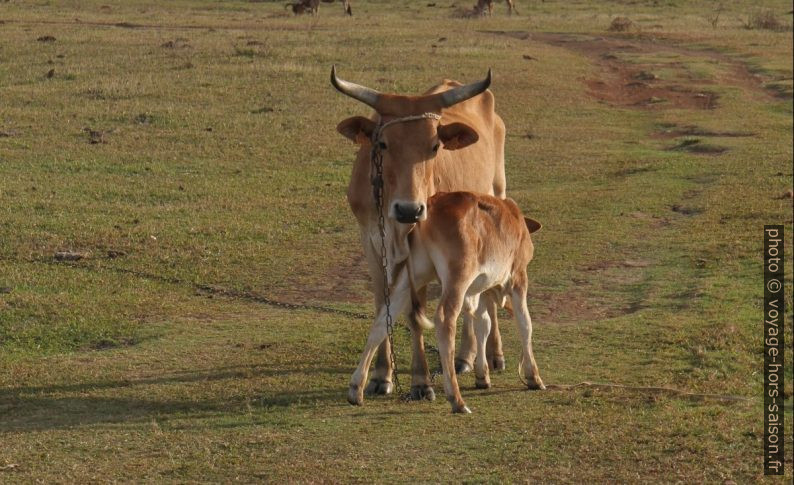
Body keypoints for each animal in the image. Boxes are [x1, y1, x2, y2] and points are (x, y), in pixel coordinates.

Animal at [330, 67, 508, 400]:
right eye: (383, 144)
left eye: (435, 146)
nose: (409, 210)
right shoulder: (371, 241)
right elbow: (382, 304)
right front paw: (381, 375)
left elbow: (415, 311)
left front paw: (421, 380)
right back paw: (466, 357)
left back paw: (487, 354)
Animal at [348, 191, 544, 410]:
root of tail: (432, 205)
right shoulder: (519, 278)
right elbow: (525, 324)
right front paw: (533, 377)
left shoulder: (478, 289)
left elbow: (483, 325)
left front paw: (482, 375)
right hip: (457, 278)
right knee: (444, 320)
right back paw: (456, 399)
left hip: (410, 277)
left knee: (381, 322)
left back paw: (356, 389)